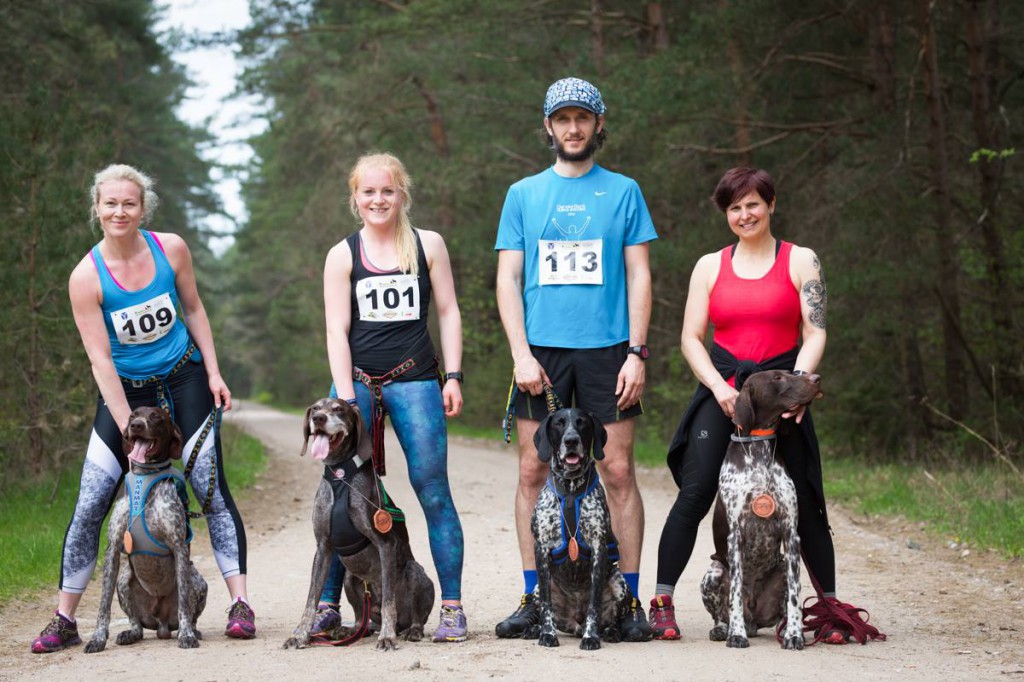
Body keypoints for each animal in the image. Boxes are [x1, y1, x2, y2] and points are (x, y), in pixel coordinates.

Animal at [84, 405, 206, 651]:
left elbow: (184, 604)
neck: (145, 477)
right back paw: (129, 634)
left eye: (157, 417)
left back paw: (193, 631)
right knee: (137, 625)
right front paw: (98, 638)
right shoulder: (113, 549)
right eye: (133, 415)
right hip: (124, 579)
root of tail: (161, 625)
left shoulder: (179, 547)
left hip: (198, 580)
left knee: (190, 612)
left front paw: (187, 635)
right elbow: (103, 604)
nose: (136, 425)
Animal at [282, 395, 434, 651]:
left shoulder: (385, 543)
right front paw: (301, 635)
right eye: (315, 408)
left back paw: (408, 630)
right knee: (362, 619)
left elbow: (389, 600)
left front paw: (387, 637)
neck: (340, 476)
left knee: (414, 617)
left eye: (338, 409)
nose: (318, 418)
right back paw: (350, 630)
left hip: (415, 572)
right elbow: (311, 599)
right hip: (350, 579)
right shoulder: (323, 547)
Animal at [532, 405, 634, 647]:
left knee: (612, 619)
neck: (570, 490)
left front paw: (591, 636)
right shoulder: (541, 549)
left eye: (582, 423)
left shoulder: (598, 548)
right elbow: (547, 606)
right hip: (537, 589)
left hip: (619, 582)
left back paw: (609, 632)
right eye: (559, 423)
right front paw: (547, 634)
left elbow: (593, 605)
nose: (571, 440)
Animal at [700, 366, 819, 647]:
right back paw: (725, 629)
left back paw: (784, 630)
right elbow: (733, 594)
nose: (816, 378)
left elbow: (796, 596)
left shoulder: (791, 533)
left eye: (792, 372)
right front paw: (736, 634)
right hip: (713, 572)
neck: (759, 450)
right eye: (777, 377)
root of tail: (753, 619)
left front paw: (795, 635)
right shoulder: (735, 535)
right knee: (722, 611)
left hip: (782, 569)